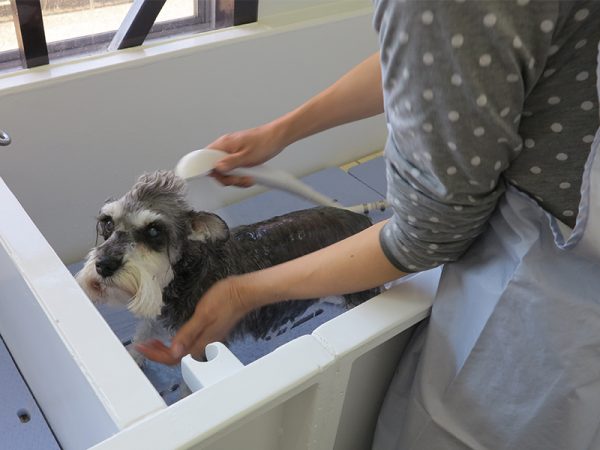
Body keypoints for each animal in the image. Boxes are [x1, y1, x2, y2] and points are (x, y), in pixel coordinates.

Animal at [76, 170, 378, 362]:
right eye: (107, 222)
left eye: (153, 231)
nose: (104, 265)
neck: (182, 276)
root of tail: (364, 222)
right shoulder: (157, 315)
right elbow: (143, 334)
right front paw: (135, 357)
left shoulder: (201, 343)